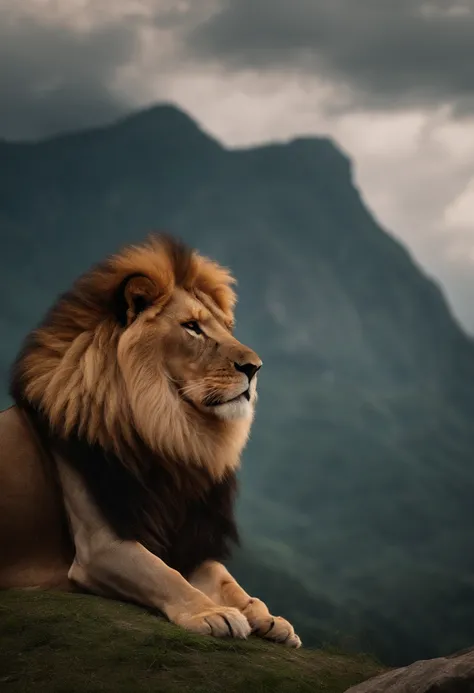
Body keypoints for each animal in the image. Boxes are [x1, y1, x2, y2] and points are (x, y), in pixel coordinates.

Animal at [0, 234, 302, 648]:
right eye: (192, 327)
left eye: (227, 327)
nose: (254, 368)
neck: (169, 434)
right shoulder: (101, 546)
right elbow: (165, 575)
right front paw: (213, 614)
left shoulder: (187, 536)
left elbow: (227, 580)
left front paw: (268, 616)